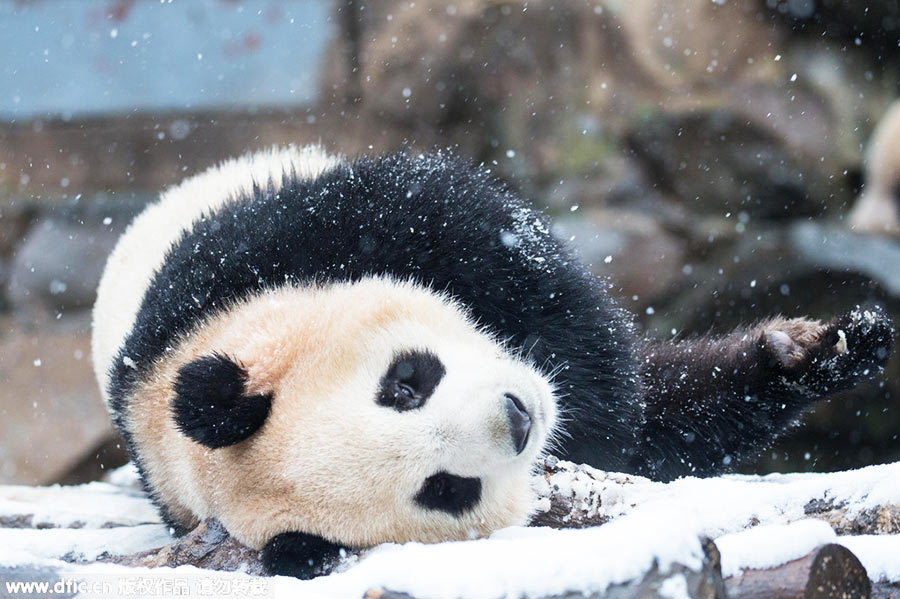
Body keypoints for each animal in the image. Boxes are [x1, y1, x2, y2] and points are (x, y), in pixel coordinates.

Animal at [91, 144, 892, 576]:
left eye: (404, 384)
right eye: (445, 489)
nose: (518, 415)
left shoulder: (266, 250)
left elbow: (486, 239)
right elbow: (648, 438)